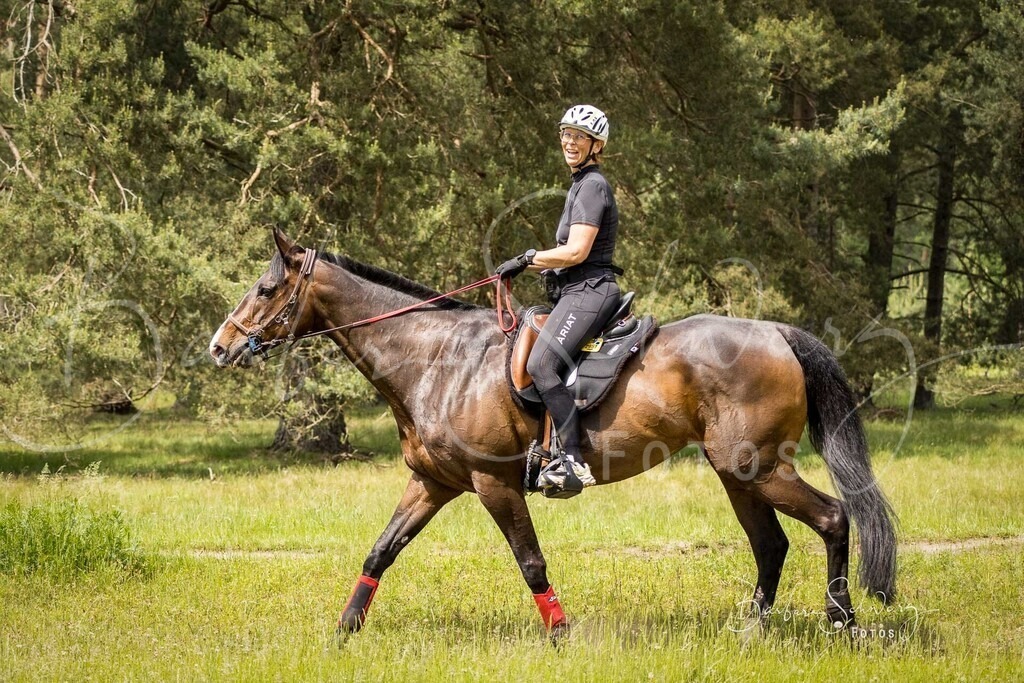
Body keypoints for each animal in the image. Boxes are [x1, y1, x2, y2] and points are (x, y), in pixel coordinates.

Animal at [209, 228, 897, 638]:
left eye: (266, 289)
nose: (219, 347)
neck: (436, 360)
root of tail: (776, 333)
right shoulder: (432, 482)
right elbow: (381, 550)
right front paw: (346, 630)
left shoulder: (494, 484)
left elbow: (531, 561)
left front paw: (560, 632)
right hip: (737, 472)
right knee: (771, 544)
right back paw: (751, 629)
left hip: (758, 466)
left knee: (834, 518)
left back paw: (841, 622)